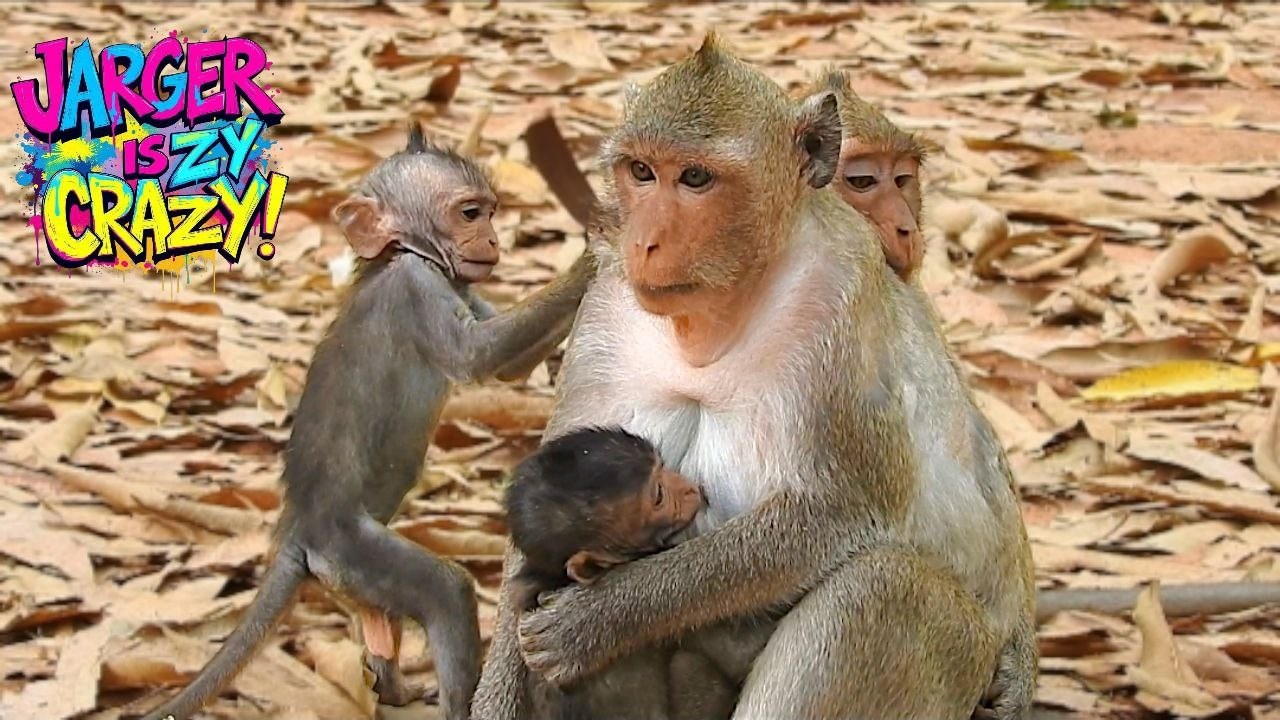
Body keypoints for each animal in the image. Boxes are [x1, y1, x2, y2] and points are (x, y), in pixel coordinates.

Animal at [137, 125, 595, 720]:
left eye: (491, 213)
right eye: (471, 213)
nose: (494, 242)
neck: (397, 255)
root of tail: (299, 529)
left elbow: (509, 366)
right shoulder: (416, 289)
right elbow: (480, 360)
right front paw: (595, 252)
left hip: (347, 574)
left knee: (382, 612)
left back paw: (391, 681)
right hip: (350, 549)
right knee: (446, 591)